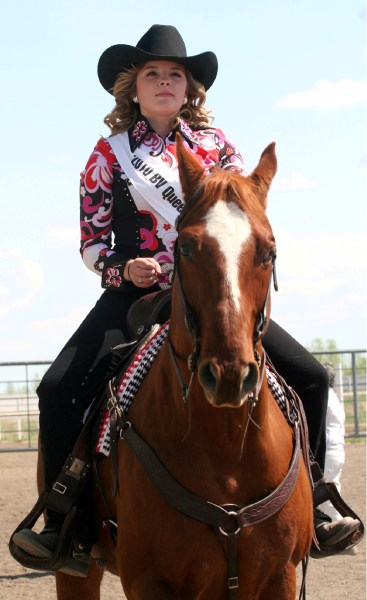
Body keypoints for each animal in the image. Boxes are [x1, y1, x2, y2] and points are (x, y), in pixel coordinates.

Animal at [54, 138, 314, 596]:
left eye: (269, 251)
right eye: (188, 248)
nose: (229, 374)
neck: (225, 446)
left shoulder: (278, 576)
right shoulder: (150, 581)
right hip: (76, 573)